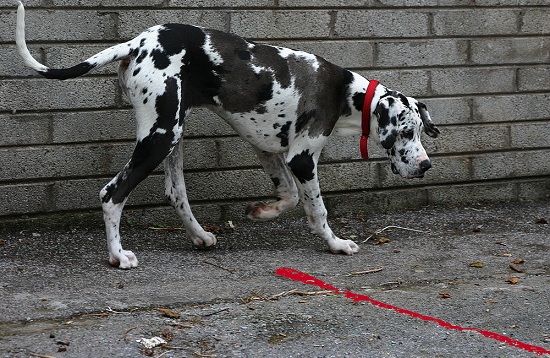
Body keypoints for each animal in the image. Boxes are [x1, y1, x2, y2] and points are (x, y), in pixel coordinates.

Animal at [15, 1, 442, 268]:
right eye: (406, 131)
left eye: (421, 130)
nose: (425, 166)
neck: (344, 93)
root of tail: (137, 42)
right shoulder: (303, 159)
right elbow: (317, 208)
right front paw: (336, 244)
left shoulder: (270, 151)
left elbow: (288, 196)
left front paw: (263, 212)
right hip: (159, 136)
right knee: (112, 193)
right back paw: (119, 256)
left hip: (171, 133)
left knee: (175, 192)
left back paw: (201, 237)